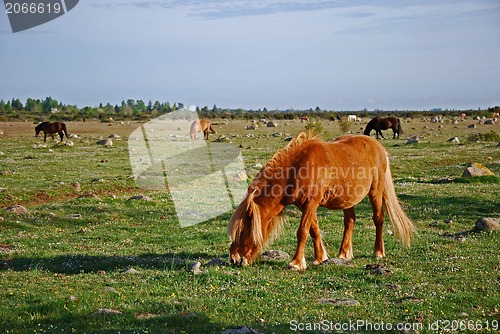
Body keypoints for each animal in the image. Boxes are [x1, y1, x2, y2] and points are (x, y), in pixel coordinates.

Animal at [229, 132, 416, 270]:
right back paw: (343, 254)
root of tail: (378, 146)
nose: (233, 259)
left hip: (375, 192)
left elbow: (302, 232)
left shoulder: (311, 203)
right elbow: (314, 231)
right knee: (350, 221)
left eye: (243, 231)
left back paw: (378, 252)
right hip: (348, 200)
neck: (298, 168)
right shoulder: (306, 205)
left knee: (378, 219)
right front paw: (320, 258)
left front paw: (296, 263)